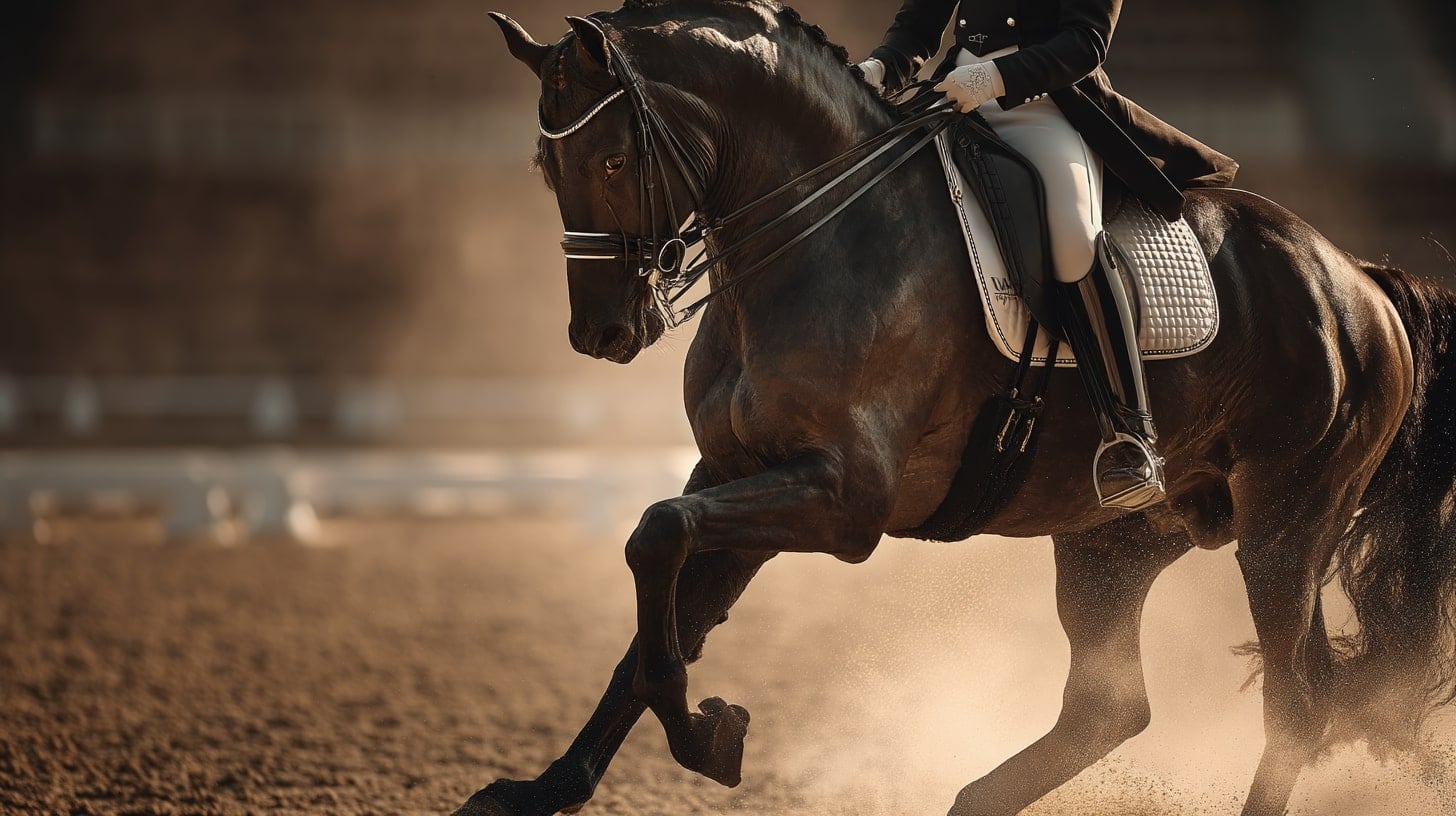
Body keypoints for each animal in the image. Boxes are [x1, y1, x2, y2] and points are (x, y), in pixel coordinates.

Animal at [470, 2, 1456, 814]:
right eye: (545, 163)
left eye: (612, 157)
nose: (601, 333)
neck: (820, 235)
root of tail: (1355, 276)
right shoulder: (737, 471)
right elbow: (660, 595)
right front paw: (550, 787)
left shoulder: (842, 500)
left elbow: (657, 535)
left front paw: (707, 736)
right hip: (1122, 536)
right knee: (1114, 705)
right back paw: (972, 800)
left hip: (1285, 521)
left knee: (1296, 702)